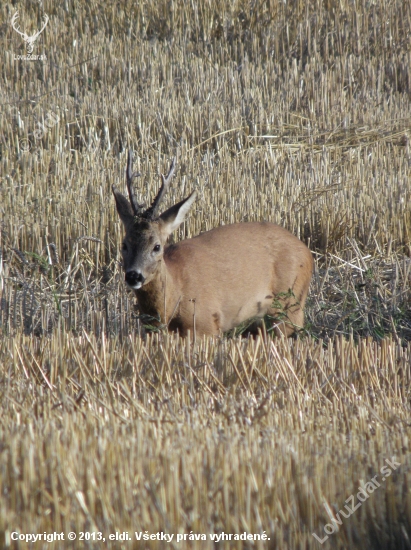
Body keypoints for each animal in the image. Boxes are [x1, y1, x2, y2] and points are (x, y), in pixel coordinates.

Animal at [112, 153, 312, 338]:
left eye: (157, 246)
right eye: (124, 245)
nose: (134, 276)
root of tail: (306, 252)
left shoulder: (206, 324)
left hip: (290, 305)